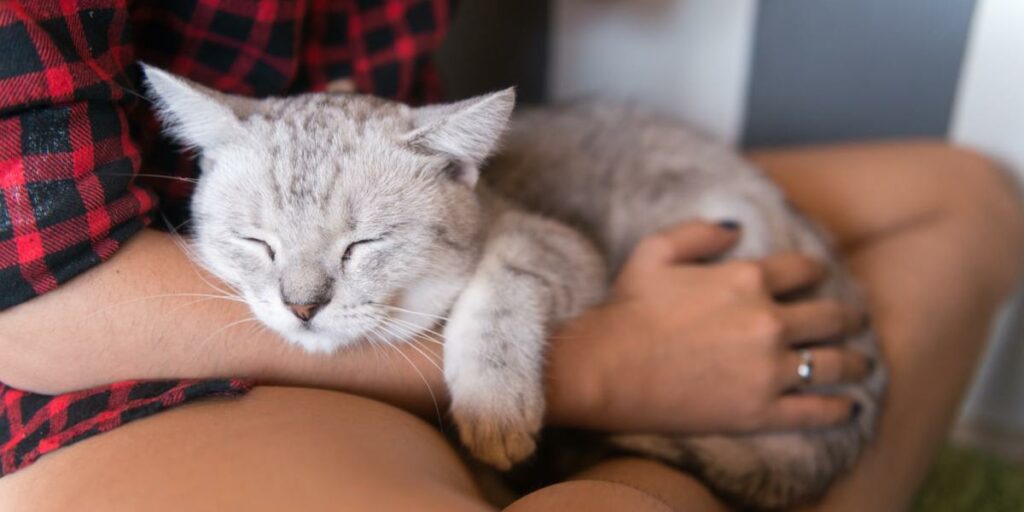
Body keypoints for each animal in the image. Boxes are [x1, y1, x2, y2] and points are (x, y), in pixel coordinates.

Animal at [140, 66, 884, 509]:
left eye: (363, 245)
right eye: (256, 242)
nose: (301, 304)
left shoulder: (561, 250)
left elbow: (499, 287)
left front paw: (494, 406)